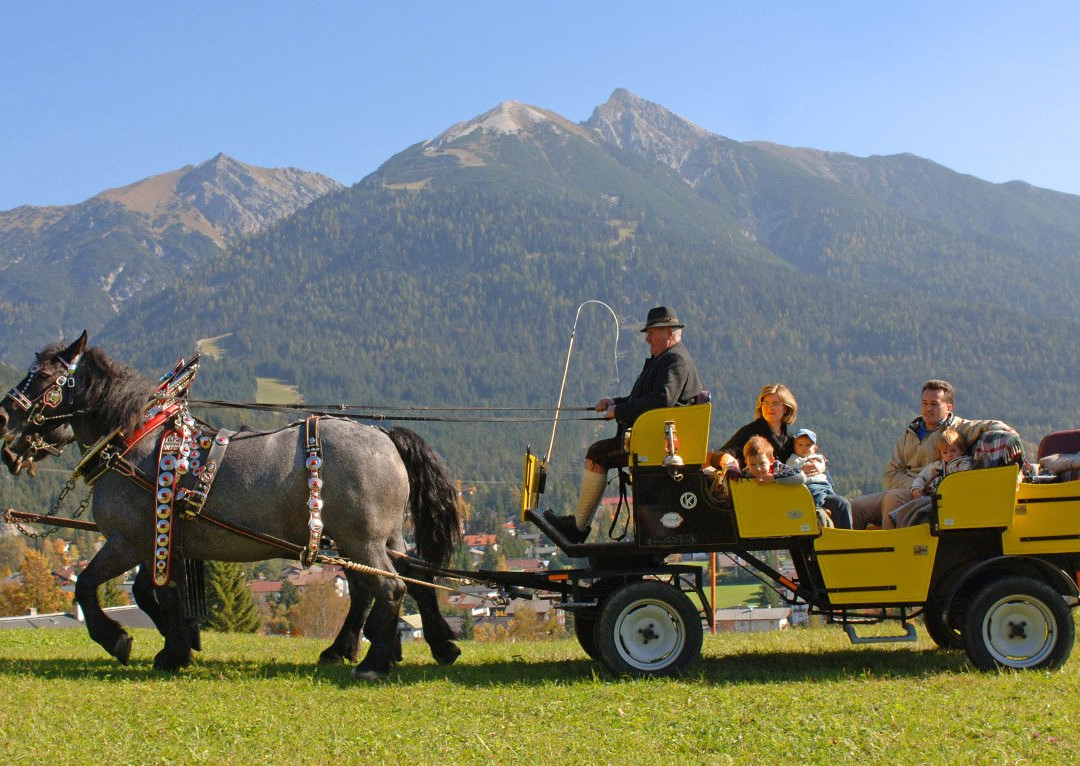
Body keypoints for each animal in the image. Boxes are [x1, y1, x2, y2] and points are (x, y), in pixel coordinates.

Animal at [0, 330, 460, 678]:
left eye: (42, 377)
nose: (4, 421)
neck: (138, 442)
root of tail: (384, 436)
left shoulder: (128, 540)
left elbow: (88, 584)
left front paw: (118, 639)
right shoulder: (159, 541)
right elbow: (154, 593)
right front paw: (177, 648)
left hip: (360, 539)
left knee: (390, 587)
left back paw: (374, 662)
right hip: (379, 538)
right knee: (409, 580)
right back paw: (426, 646)